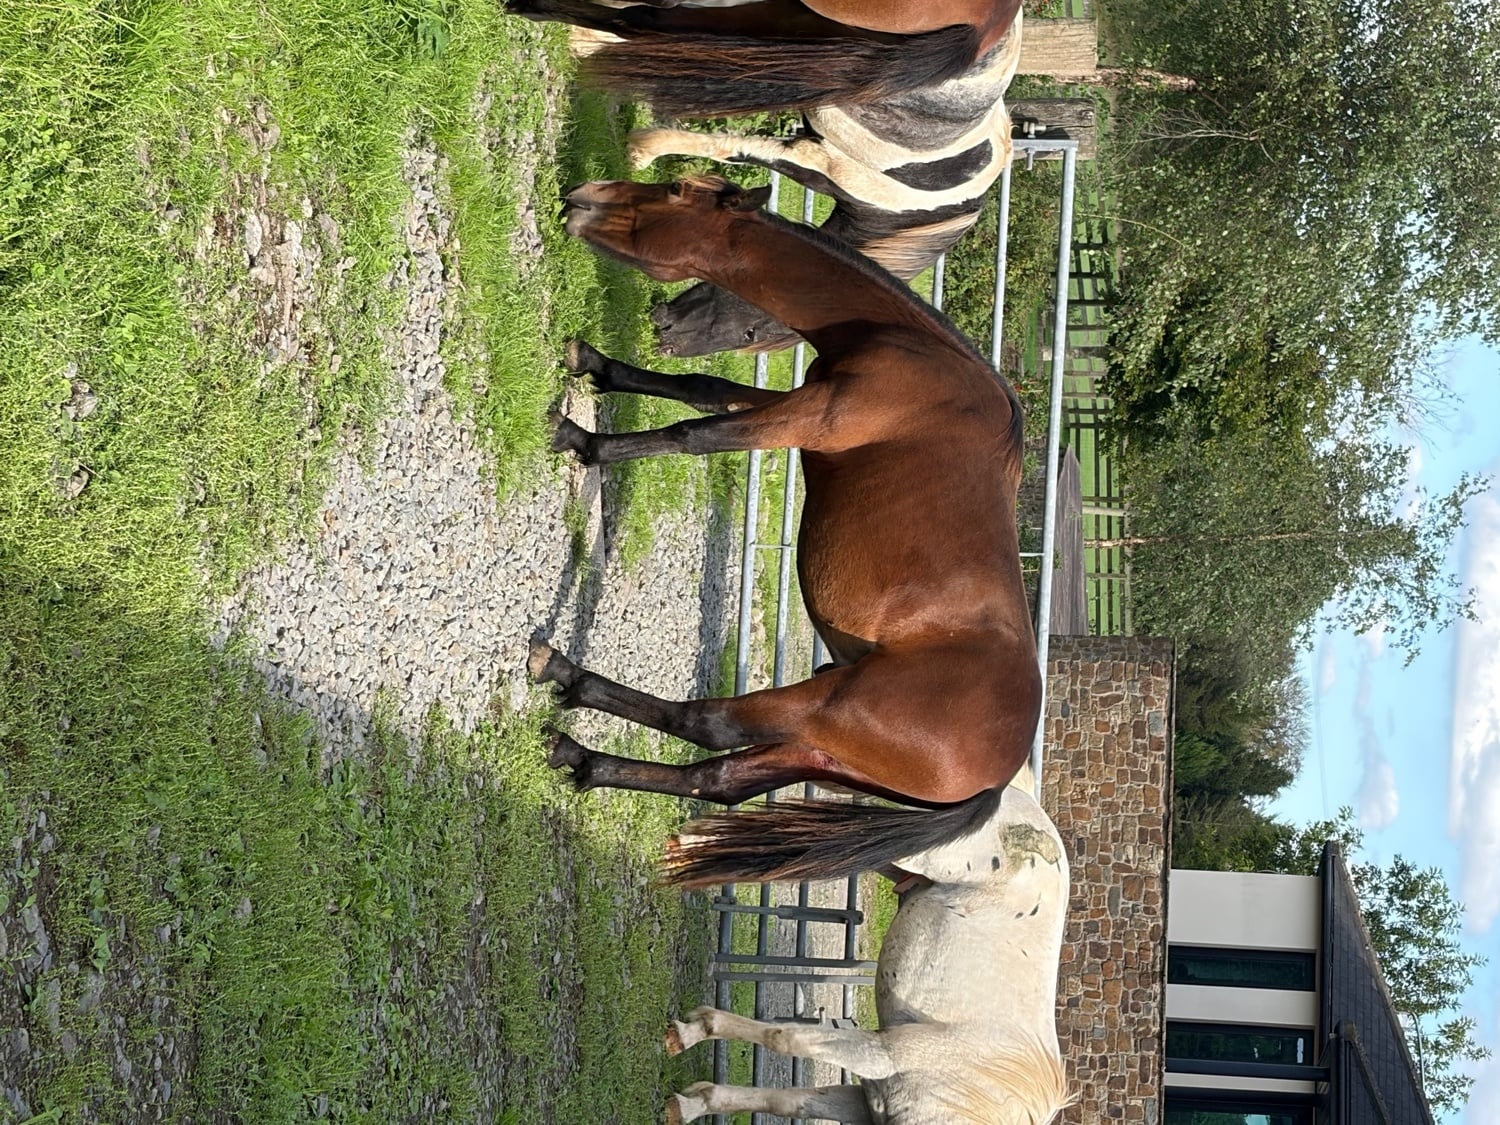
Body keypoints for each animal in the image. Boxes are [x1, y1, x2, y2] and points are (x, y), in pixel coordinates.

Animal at [530, 173, 1040, 888]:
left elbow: (691, 434)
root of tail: (995, 778)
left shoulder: (808, 417)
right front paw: (593, 363)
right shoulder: (789, 404)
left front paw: (583, 440)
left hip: (822, 707)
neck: (914, 355)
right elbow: (701, 386)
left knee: (708, 725)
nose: (584, 197)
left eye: (676, 195)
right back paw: (583, 760)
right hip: (819, 752)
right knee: (717, 779)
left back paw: (563, 673)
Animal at [663, 779, 1072, 1124]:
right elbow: (785, 1037)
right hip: (917, 847)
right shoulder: (881, 1054)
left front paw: (693, 1091)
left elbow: (784, 1101)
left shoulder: (862, 1098)